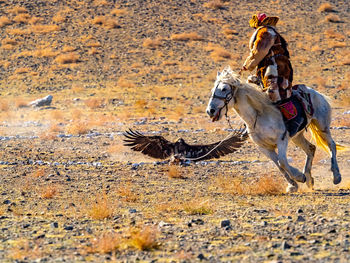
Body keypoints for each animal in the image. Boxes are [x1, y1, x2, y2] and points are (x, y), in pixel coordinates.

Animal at [206, 67, 346, 193]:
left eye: (224, 89)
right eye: (213, 90)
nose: (210, 111)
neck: (259, 116)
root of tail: (318, 94)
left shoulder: (281, 140)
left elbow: (282, 161)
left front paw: (299, 177)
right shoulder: (264, 148)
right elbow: (279, 165)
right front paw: (293, 185)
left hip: (322, 126)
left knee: (331, 145)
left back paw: (336, 176)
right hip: (297, 136)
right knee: (311, 148)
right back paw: (310, 180)